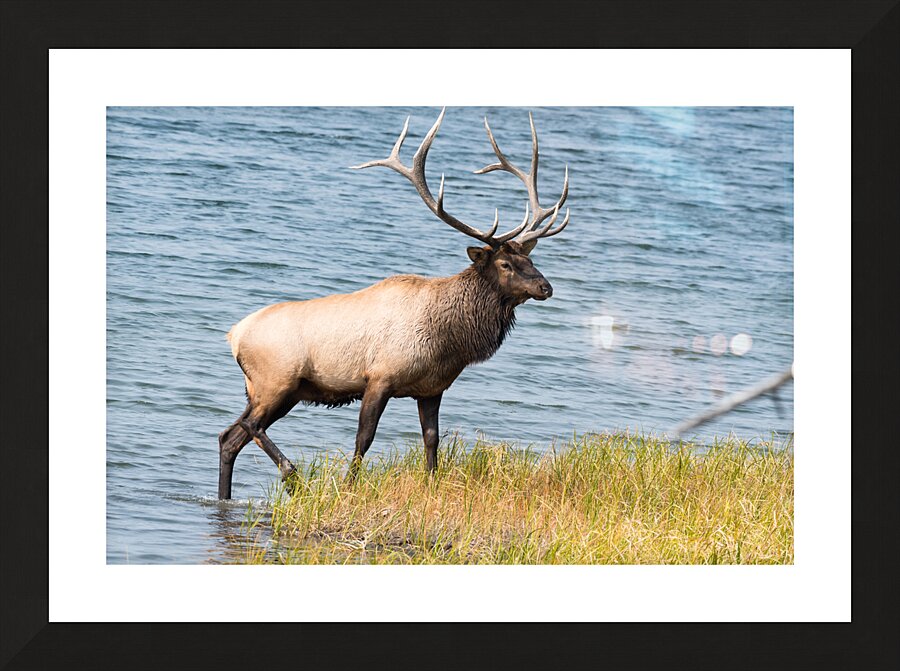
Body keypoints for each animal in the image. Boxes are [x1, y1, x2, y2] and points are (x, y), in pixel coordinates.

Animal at [217, 108, 571, 499]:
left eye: (531, 260)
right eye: (506, 264)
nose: (545, 287)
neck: (449, 339)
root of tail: (234, 335)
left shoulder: (432, 389)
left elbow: (431, 439)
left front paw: (432, 484)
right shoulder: (380, 377)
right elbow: (364, 438)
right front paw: (349, 486)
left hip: (274, 390)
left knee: (228, 437)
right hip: (276, 381)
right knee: (248, 426)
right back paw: (291, 473)